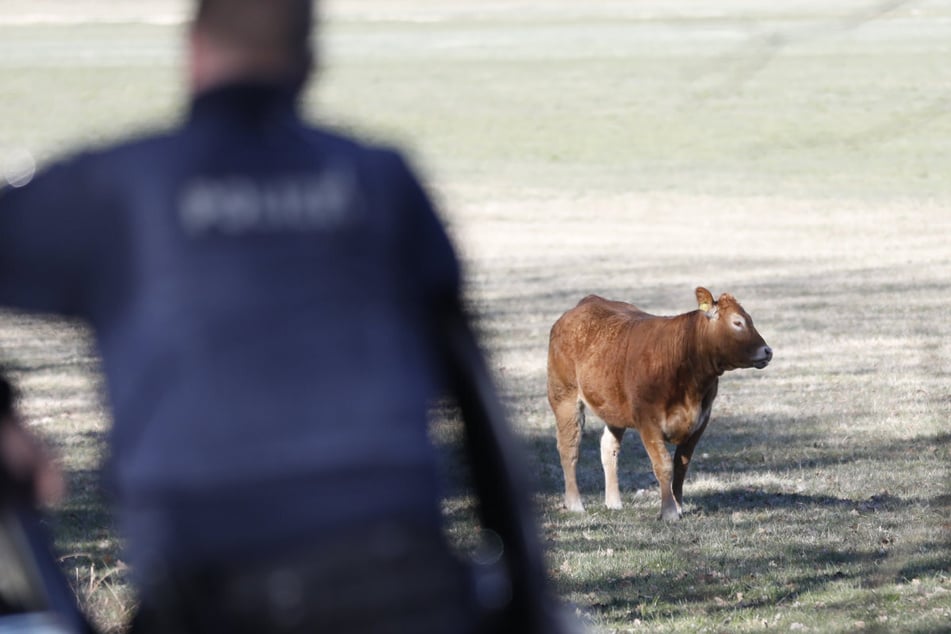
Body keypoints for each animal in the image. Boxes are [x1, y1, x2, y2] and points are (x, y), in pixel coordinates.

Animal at [548, 286, 768, 520]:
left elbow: (681, 466)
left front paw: (678, 506)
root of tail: (584, 304)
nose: (768, 350)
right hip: (564, 396)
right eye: (738, 322)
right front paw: (669, 511)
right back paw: (575, 504)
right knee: (569, 447)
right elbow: (663, 465)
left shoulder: (701, 420)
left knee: (609, 448)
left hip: (612, 408)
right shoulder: (647, 420)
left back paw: (614, 503)